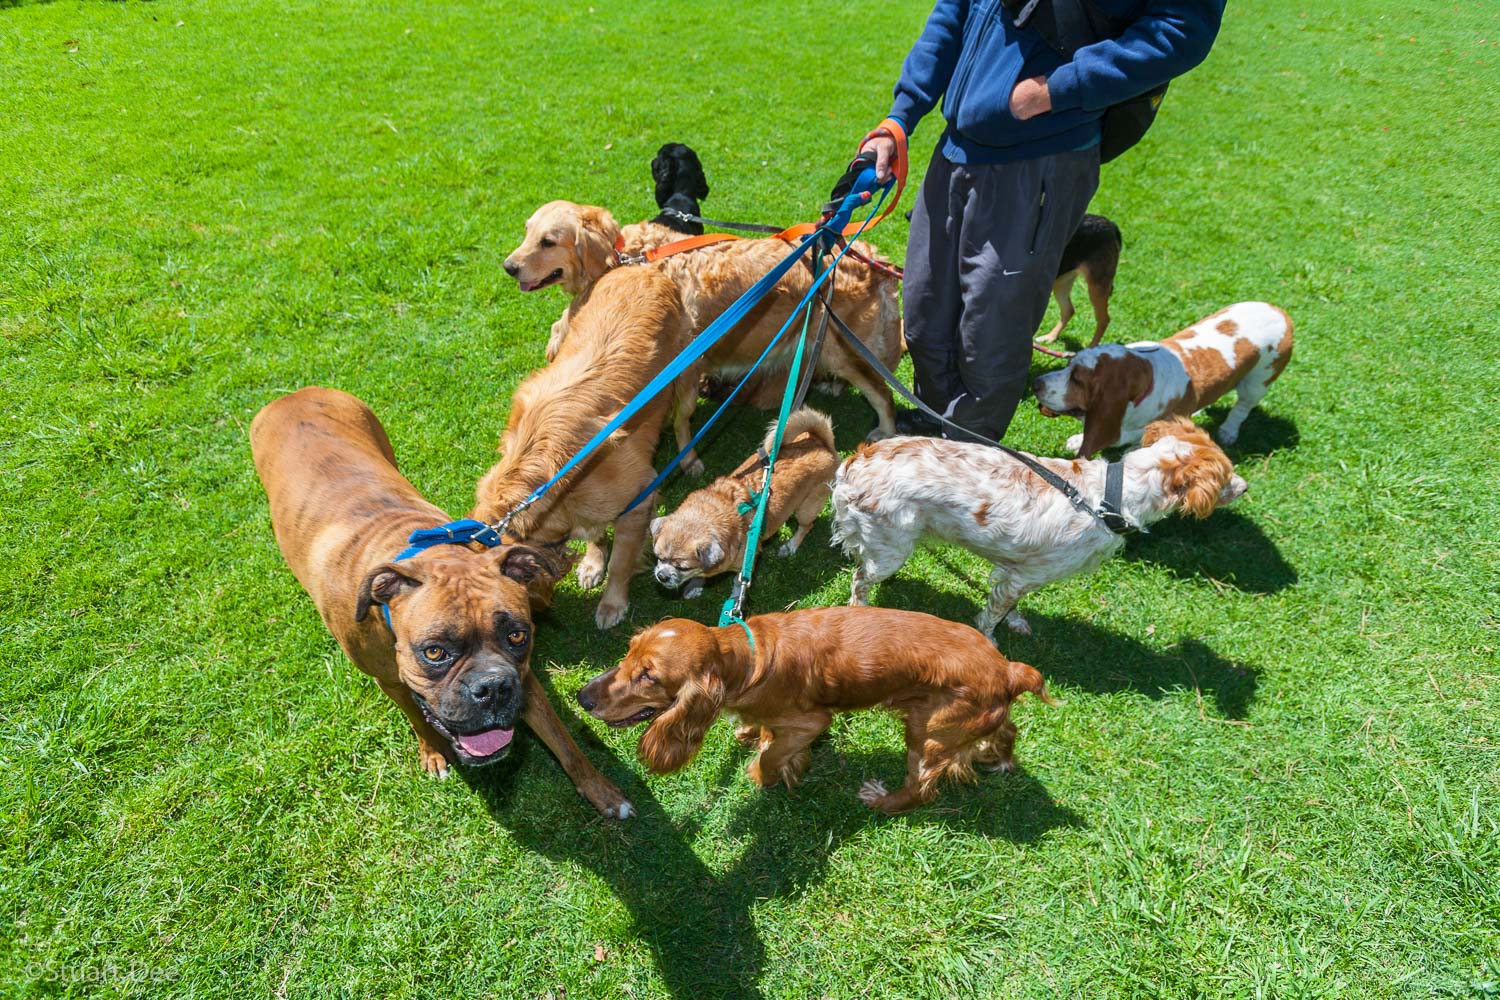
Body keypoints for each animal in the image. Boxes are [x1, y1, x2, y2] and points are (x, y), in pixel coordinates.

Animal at [250, 386, 633, 821]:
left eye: (518, 636)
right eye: (434, 652)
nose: (492, 688)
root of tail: (294, 395)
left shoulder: (526, 680)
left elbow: (565, 743)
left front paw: (604, 793)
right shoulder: (391, 681)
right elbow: (418, 718)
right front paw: (432, 753)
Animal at [471, 262, 699, 629]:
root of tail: (642, 267)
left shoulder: (638, 495)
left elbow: (621, 561)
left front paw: (612, 604)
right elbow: (595, 534)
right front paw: (593, 563)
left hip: (687, 378)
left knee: (682, 422)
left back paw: (689, 460)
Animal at [504, 199, 900, 437]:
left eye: (548, 241)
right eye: (526, 232)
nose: (508, 266)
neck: (627, 256)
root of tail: (872, 259)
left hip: (845, 349)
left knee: (883, 393)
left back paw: (885, 429)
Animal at [648, 407, 840, 599]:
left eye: (682, 567)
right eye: (658, 557)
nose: (661, 576)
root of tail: (821, 443)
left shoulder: (744, 567)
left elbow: (736, 583)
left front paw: (735, 599)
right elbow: (702, 574)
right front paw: (695, 586)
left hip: (806, 508)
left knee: (806, 526)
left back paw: (790, 546)